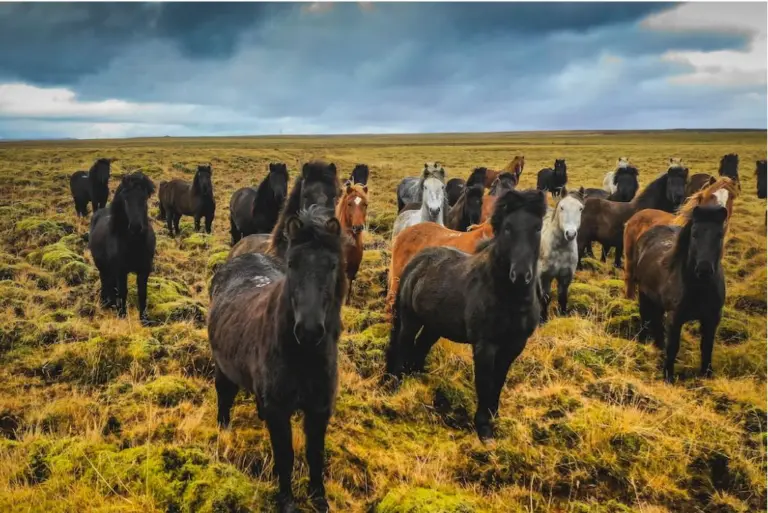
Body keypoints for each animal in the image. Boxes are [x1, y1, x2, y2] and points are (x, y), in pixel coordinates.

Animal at [89, 172, 156, 325]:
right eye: (125, 198)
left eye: (144, 198)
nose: (136, 227)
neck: (134, 244)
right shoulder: (121, 271)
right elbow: (123, 291)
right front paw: (122, 316)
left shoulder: (144, 270)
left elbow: (142, 293)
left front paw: (144, 319)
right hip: (103, 266)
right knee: (105, 280)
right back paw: (106, 303)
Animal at [208, 206, 345, 513]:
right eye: (292, 264)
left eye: (332, 266)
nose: (308, 330)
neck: (303, 358)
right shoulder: (279, 411)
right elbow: (285, 456)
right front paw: (286, 501)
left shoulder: (319, 409)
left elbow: (315, 454)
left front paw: (319, 498)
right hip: (223, 369)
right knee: (224, 396)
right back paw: (224, 432)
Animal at [386, 189, 546, 441]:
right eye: (507, 228)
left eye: (538, 227)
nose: (521, 275)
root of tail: (418, 259)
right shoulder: (485, 345)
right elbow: (485, 381)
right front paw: (484, 429)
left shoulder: (514, 345)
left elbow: (499, 381)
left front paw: (493, 418)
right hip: (410, 319)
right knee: (404, 344)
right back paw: (397, 383)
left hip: (434, 326)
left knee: (420, 347)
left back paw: (418, 379)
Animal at [538, 188, 585, 323]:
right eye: (562, 207)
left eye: (580, 208)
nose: (570, 234)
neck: (560, 249)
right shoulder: (544, 276)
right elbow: (545, 298)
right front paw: (543, 320)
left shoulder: (566, 277)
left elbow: (563, 298)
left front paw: (563, 316)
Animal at [628, 205, 727, 382]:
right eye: (694, 234)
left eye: (720, 235)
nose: (704, 269)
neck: (699, 288)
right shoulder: (675, 317)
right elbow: (673, 346)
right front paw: (668, 377)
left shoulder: (712, 318)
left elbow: (707, 346)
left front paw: (706, 375)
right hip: (644, 296)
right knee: (646, 319)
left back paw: (659, 348)